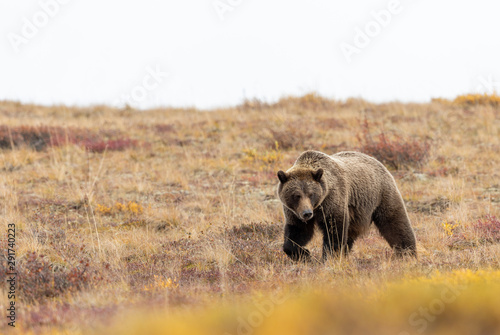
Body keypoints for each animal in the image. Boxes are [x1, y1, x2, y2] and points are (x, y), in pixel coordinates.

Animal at [278, 150, 414, 262]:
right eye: (296, 195)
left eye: (311, 194)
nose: (307, 213)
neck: (318, 206)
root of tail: (378, 162)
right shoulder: (294, 212)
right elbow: (296, 233)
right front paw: (304, 254)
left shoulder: (333, 201)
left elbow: (334, 231)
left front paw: (329, 257)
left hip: (381, 195)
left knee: (395, 224)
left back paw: (408, 253)